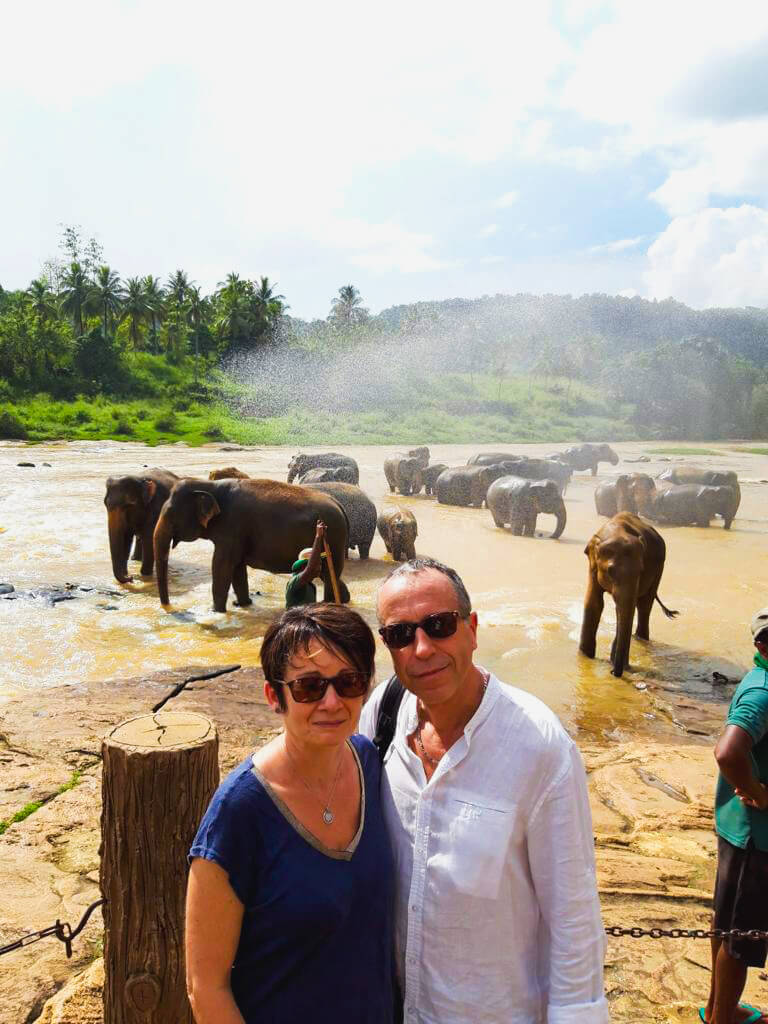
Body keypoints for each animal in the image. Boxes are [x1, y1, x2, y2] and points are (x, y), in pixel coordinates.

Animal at [153, 477, 352, 610]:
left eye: (170, 514)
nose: (169, 607)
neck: (208, 485)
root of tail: (339, 505)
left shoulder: (232, 527)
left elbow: (221, 566)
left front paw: (216, 611)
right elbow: (237, 568)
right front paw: (242, 604)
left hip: (335, 536)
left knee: (329, 575)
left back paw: (330, 605)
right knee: (330, 575)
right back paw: (344, 600)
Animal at [581, 516, 684, 675]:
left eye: (640, 571)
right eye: (610, 571)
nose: (612, 672)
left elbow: (626, 607)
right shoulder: (592, 567)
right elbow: (594, 603)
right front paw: (585, 656)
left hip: (660, 568)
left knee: (644, 605)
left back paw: (640, 638)